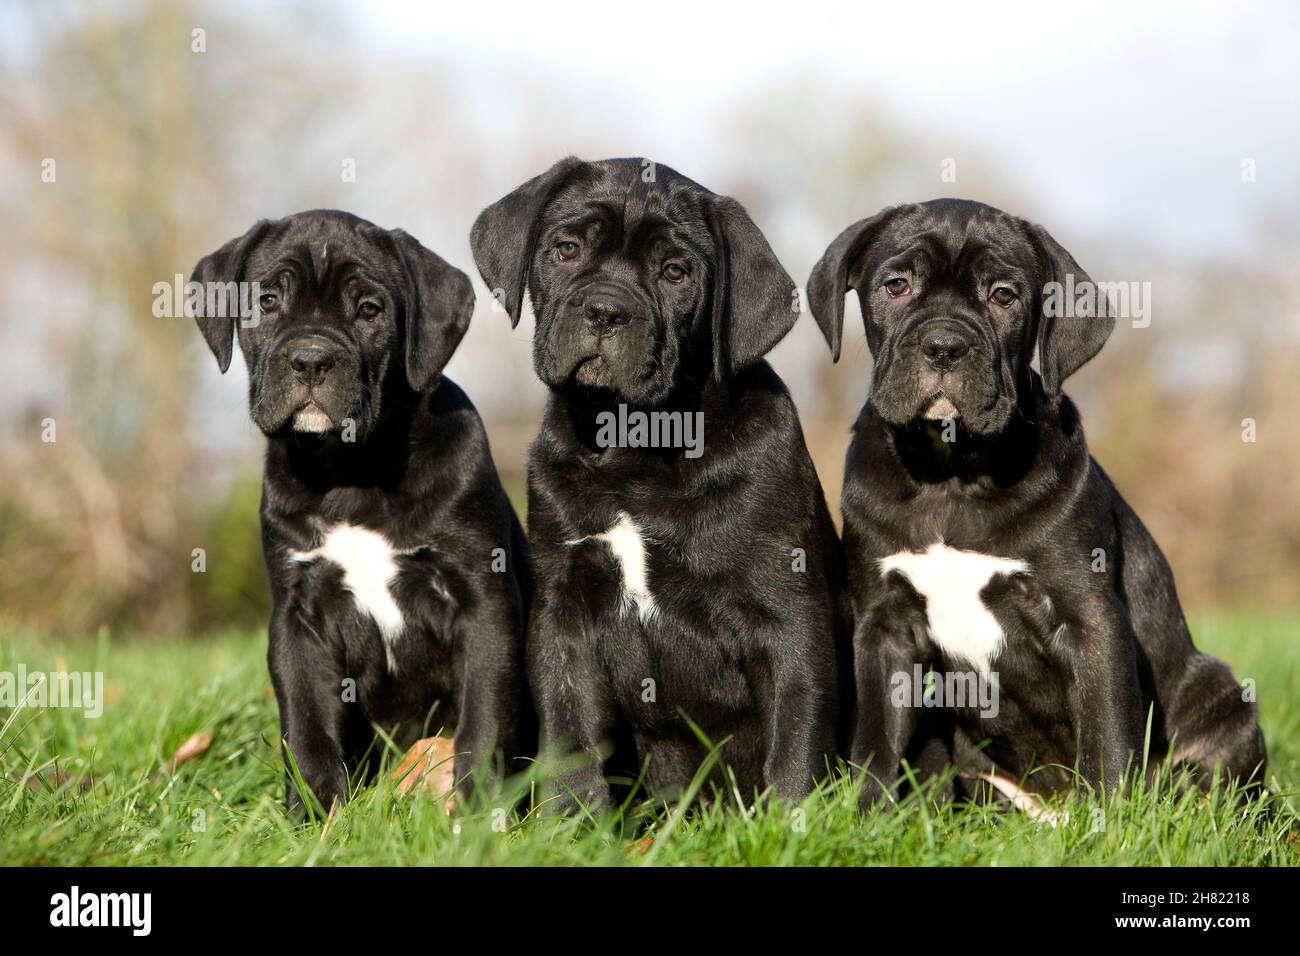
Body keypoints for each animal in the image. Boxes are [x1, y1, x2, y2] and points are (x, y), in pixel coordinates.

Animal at [187, 209, 527, 816]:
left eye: (369, 310)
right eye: (267, 301)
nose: (311, 359)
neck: (351, 472)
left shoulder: (483, 603)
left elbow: (484, 720)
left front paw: (477, 814)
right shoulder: (298, 618)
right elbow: (307, 725)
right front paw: (316, 814)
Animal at [473, 158, 847, 816]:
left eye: (676, 273)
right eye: (566, 250)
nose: (604, 310)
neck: (634, 448)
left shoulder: (789, 620)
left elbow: (794, 740)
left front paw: (789, 825)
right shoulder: (564, 617)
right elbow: (571, 735)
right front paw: (571, 825)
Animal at [806, 201, 1263, 816]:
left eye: (1004, 295)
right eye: (896, 285)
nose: (945, 345)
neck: (953, 477)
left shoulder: (1090, 617)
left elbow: (1107, 734)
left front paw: (1110, 823)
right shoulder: (883, 626)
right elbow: (876, 739)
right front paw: (866, 819)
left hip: (1222, 696)